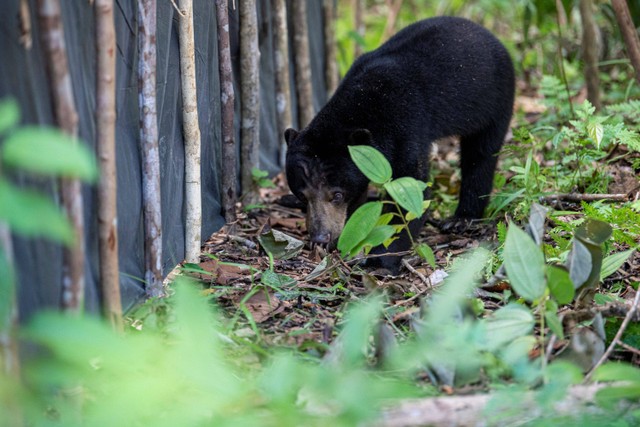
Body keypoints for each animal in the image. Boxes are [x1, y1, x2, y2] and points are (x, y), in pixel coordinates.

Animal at [284, 16, 516, 270]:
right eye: (302, 195)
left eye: (336, 195)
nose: (319, 237)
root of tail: (490, 36)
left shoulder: (406, 123)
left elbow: (412, 188)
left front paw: (381, 260)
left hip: (495, 99)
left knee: (481, 154)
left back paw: (461, 219)